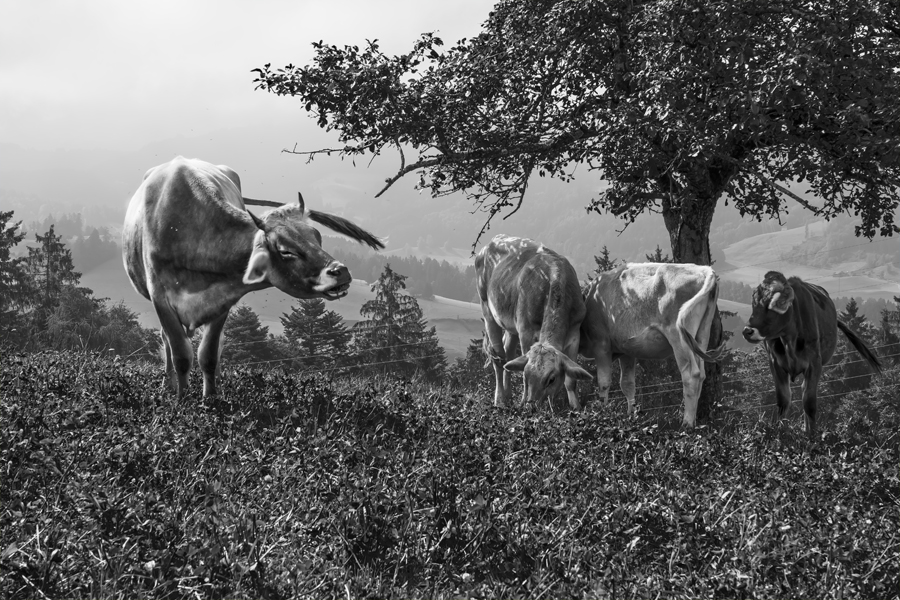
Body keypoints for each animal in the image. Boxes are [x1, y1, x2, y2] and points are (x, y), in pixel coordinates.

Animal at [123, 157, 384, 396]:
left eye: (317, 237)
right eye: (285, 251)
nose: (340, 272)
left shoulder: (222, 298)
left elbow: (208, 354)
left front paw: (210, 401)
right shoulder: (161, 298)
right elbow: (180, 355)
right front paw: (182, 401)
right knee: (166, 340)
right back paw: (168, 385)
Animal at [474, 233, 596, 408]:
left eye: (551, 379)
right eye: (526, 376)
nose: (532, 406)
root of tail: (496, 239)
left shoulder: (574, 333)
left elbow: (571, 380)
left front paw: (575, 408)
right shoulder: (526, 331)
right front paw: (523, 402)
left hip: (511, 324)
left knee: (508, 356)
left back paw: (508, 396)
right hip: (487, 310)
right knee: (498, 358)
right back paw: (500, 400)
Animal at [576, 262, 724, 426]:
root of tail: (704, 269)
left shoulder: (600, 345)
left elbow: (603, 382)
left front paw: (602, 414)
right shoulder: (627, 350)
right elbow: (627, 384)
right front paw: (631, 416)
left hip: (678, 336)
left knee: (692, 376)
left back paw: (687, 424)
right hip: (702, 334)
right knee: (702, 375)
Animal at [740, 270, 884, 434]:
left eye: (772, 305)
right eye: (754, 304)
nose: (747, 331)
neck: (790, 340)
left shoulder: (814, 364)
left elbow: (809, 403)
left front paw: (811, 435)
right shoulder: (775, 363)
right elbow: (783, 400)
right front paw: (780, 431)